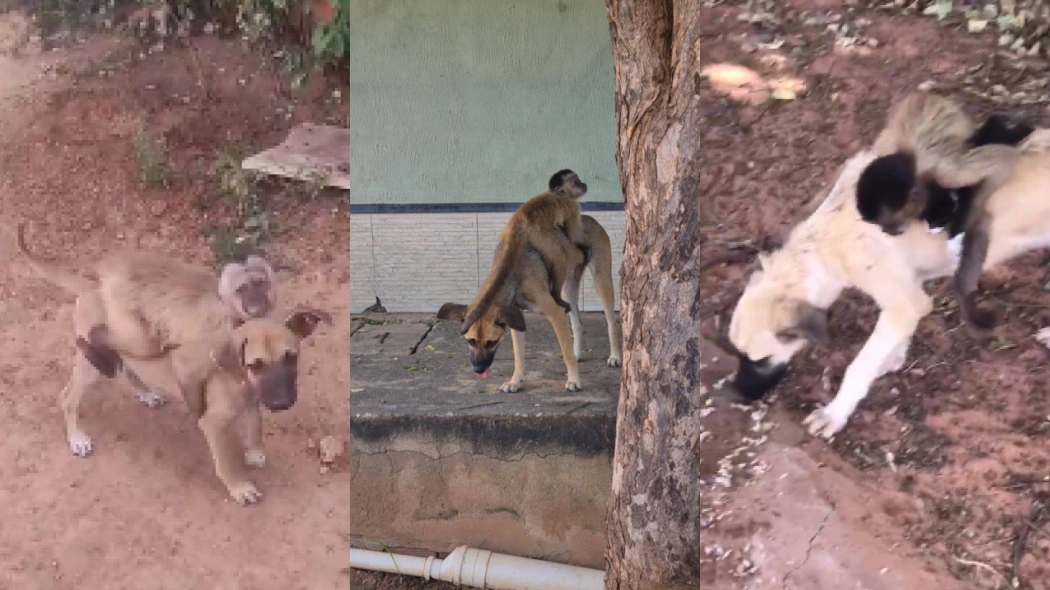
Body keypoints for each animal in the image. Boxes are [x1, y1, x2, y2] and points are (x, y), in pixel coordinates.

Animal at [718, 121, 1050, 436]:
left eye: (760, 359)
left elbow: (860, 365)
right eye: (737, 354)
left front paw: (835, 413)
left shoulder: (901, 301)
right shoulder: (911, 294)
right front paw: (893, 357)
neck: (823, 246)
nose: (734, 394)